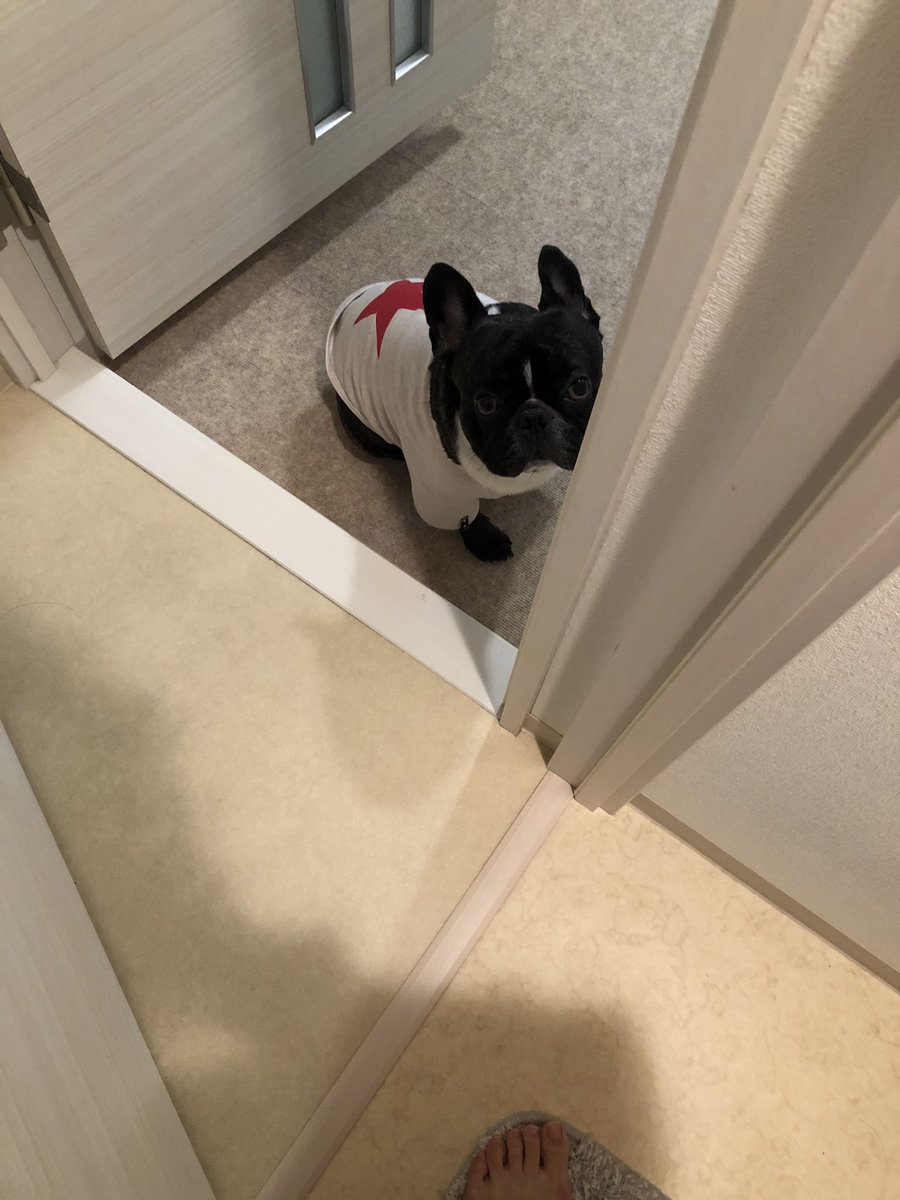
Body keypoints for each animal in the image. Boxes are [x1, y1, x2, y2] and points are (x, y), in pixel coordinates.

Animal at [325, 245, 603, 561]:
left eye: (579, 387)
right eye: (486, 404)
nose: (534, 417)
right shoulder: (442, 494)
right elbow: (466, 519)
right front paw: (485, 540)